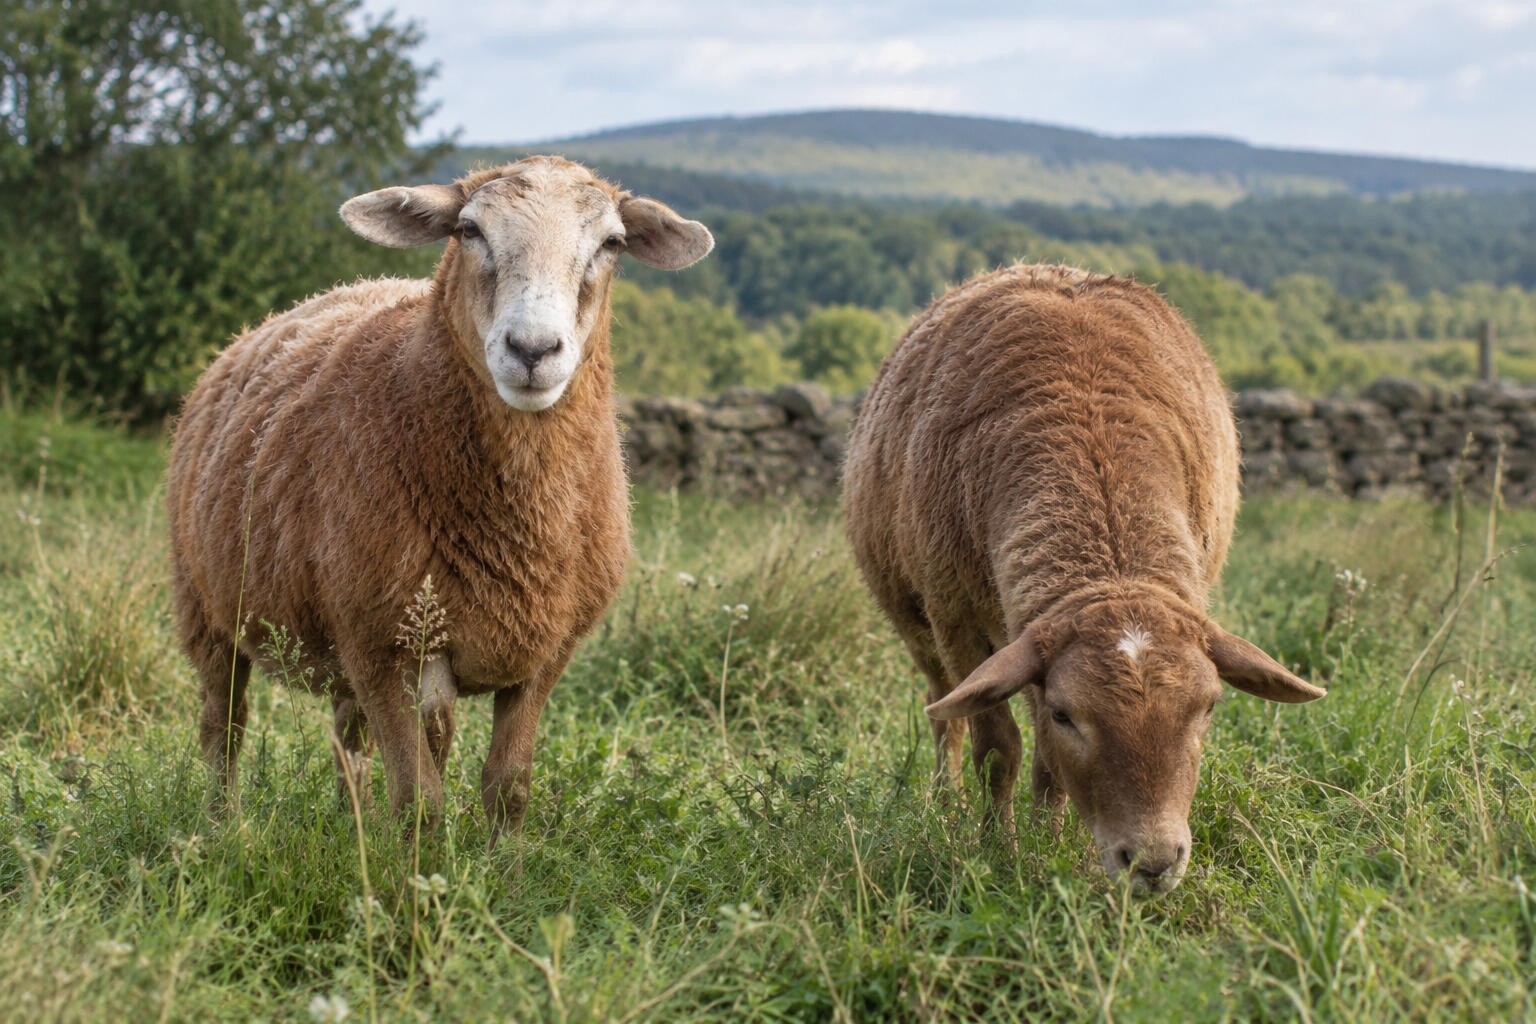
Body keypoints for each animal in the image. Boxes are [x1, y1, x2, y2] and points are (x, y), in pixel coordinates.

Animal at [167, 156, 713, 839]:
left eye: (611, 243)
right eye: (469, 230)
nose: (532, 350)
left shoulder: (547, 649)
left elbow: (508, 787)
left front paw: (503, 866)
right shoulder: (379, 646)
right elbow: (419, 800)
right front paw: (415, 869)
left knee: (352, 741)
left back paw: (352, 825)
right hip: (208, 605)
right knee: (225, 726)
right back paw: (222, 827)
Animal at [842, 263, 1325, 893]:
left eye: (1210, 708)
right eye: (1066, 715)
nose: (1152, 862)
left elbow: (1048, 768)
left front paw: (1053, 848)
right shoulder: (959, 623)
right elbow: (997, 749)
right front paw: (999, 852)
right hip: (924, 626)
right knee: (943, 713)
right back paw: (944, 809)